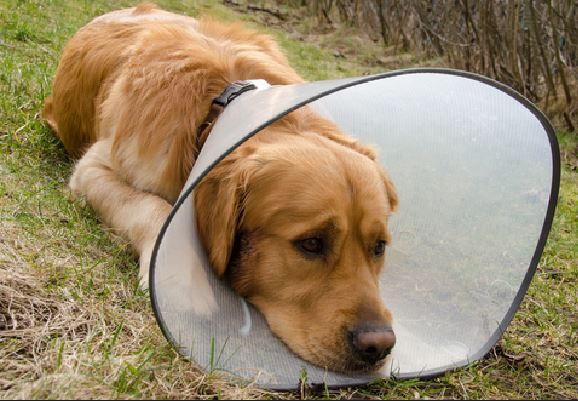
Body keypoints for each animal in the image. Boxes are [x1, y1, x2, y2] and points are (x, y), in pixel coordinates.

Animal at [44, 2, 396, 372]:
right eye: (311, 244)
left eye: (379, 247)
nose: (379, 346)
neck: (226, 99)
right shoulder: (91, 168)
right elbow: (153, 207)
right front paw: (180, 277)